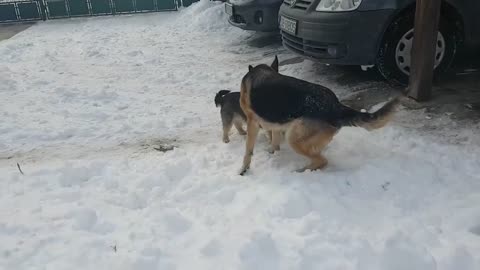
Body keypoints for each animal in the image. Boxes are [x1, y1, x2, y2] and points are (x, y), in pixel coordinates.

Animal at [238, 56, 400, 176]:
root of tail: (335, 106)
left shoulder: (252, 123)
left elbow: (248, 151)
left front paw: (244, 169)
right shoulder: (275, 124)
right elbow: (275, 140)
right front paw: (273, 152)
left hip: (294, 138)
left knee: (322, 161)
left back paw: (301, 171)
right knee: (318, 156)